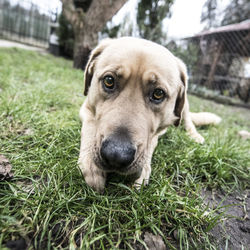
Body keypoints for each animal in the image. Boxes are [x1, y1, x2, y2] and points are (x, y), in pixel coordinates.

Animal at [78, 37, 221, 192]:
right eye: (109, 81)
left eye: (158, 93)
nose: (116, 155)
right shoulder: (86, 108)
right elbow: (90, 127)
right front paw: (90, 164)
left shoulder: (159, 130)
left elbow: (151, 141)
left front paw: (143, 169)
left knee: (188, 121)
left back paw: (194, 135)